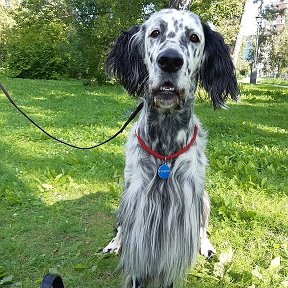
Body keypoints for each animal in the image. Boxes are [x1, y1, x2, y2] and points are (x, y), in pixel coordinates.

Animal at [102, 7, 237, 286]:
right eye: (155, 33)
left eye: (194, 37)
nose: (170, 61)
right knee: (120, 227)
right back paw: (114, 243)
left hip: (204, 201)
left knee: (202, 229)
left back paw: (206, 246)